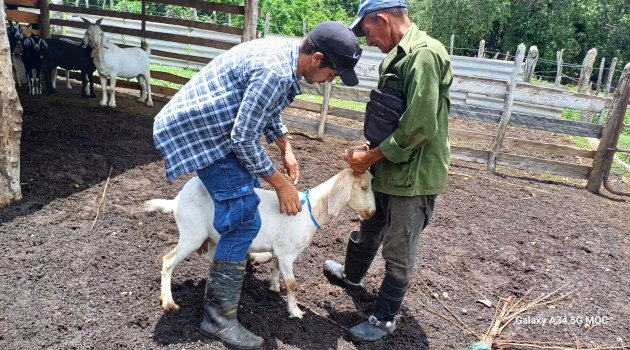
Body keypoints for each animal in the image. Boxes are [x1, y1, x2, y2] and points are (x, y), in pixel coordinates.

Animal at [144, 168, 376, 318]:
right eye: (364, 187)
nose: (372, 213)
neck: (309, 210)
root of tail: (177, 200)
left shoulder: (281, 250)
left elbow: (276, 267)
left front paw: (273, 286)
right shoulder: (287, 253)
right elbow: (291, 282)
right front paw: (295, 311)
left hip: (210, 238)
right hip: (192, 234)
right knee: (167, 261)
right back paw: (168, 302)